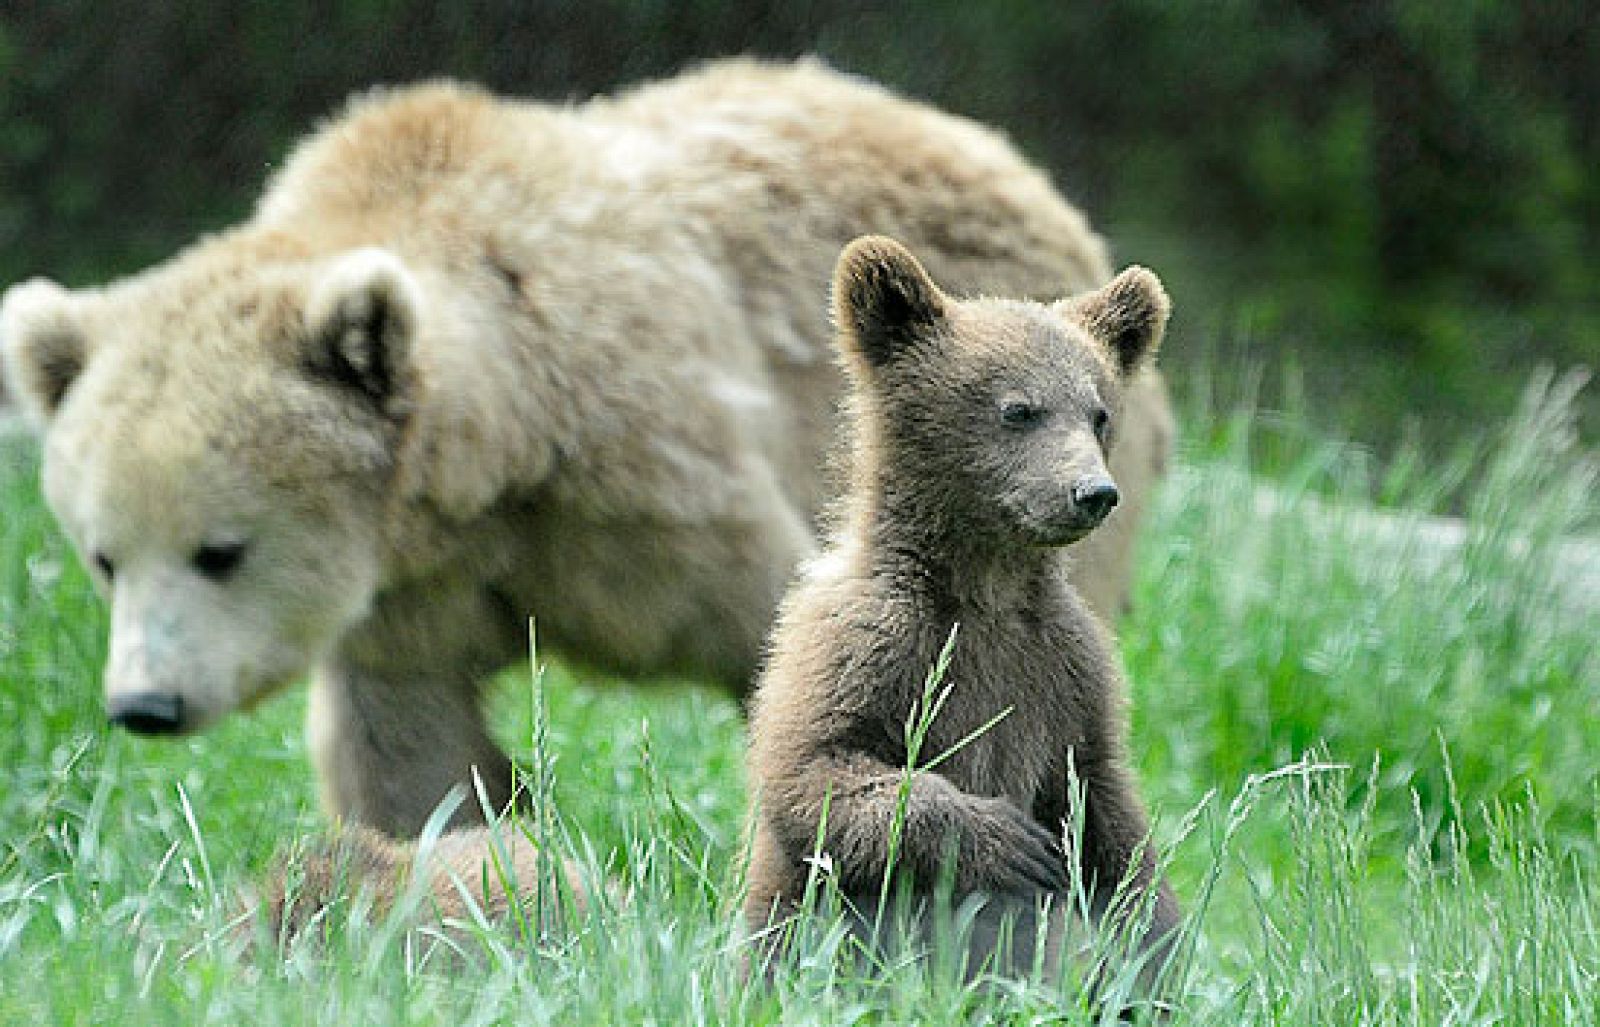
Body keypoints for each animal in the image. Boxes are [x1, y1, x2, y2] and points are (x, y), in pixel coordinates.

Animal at [0, 58, 1172, 839]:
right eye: (103, 553)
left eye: (221, 549)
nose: (145, 704)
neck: (509, 440)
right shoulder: (409, 595)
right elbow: (413, 755)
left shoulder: (663, 481)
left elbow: (782, 649)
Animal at [744, 237, 1181, 988]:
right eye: (1018, 409)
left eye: (1098, 412)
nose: (1092, 492)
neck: (987, 589)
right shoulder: (868, 642)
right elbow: (817, 772)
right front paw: (1008, 843)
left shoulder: (1066, 669)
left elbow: (1105, 808)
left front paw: (1151, 950)